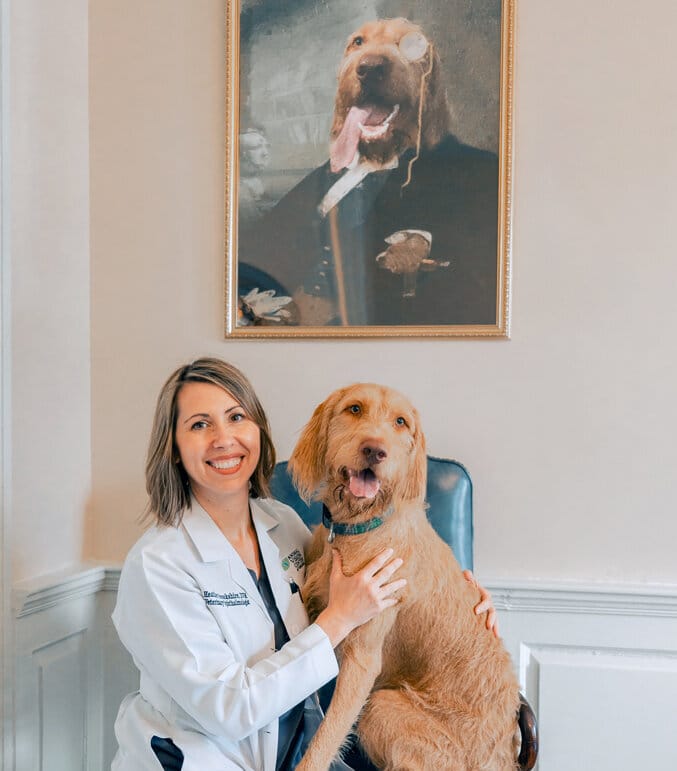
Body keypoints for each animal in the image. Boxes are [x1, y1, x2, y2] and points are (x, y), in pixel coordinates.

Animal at [290, 382, 516, 768]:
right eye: (354, 409)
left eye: (400, 422)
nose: (374, 450)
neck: (357, 527)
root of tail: (505, 754)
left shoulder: (362, 660)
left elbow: (324, 739)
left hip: (381, 707)